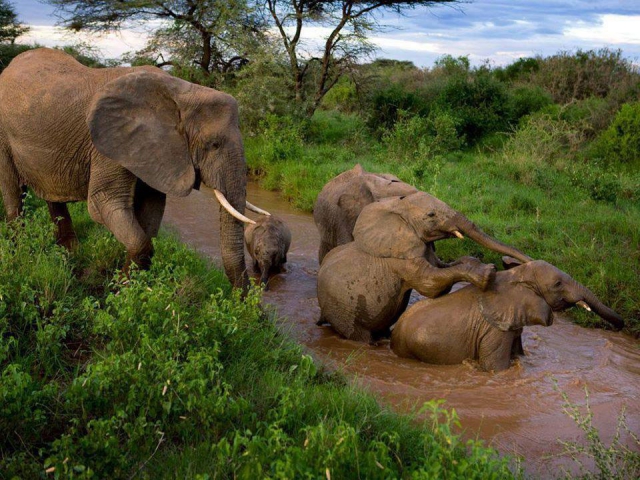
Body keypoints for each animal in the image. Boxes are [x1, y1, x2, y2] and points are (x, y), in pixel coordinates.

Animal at [0, 48, 268, 288]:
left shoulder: (154, 152)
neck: (182, 93)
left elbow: (150, 212)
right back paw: (19, 251)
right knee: (13, 193)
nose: (246, 301)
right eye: (213, 145)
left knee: (52, 196)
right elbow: (104, 204)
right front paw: (119, 289)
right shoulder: (110, 145)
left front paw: (129, 287)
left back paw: (70, 256)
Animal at [318, 189, 532, 344]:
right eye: (431, 215)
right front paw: (487, 273)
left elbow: (443, 268)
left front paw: (474, 262)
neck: (397, 207)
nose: (524, 261)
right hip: (343, 311)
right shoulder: (400, 257)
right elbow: (430, 284)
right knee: (359, 335)